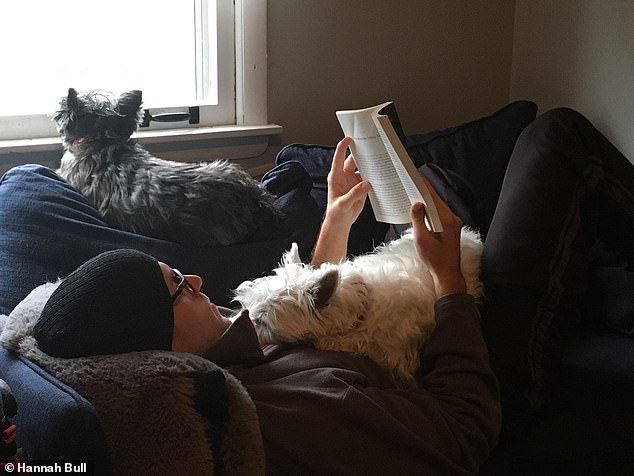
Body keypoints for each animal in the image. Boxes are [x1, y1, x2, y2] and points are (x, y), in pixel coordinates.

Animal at [233, 227, 484, 384]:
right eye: (247, 306)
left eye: (262, 321)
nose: (237, 326)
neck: (360, 311)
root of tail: (468, 235)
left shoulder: (397, 354)